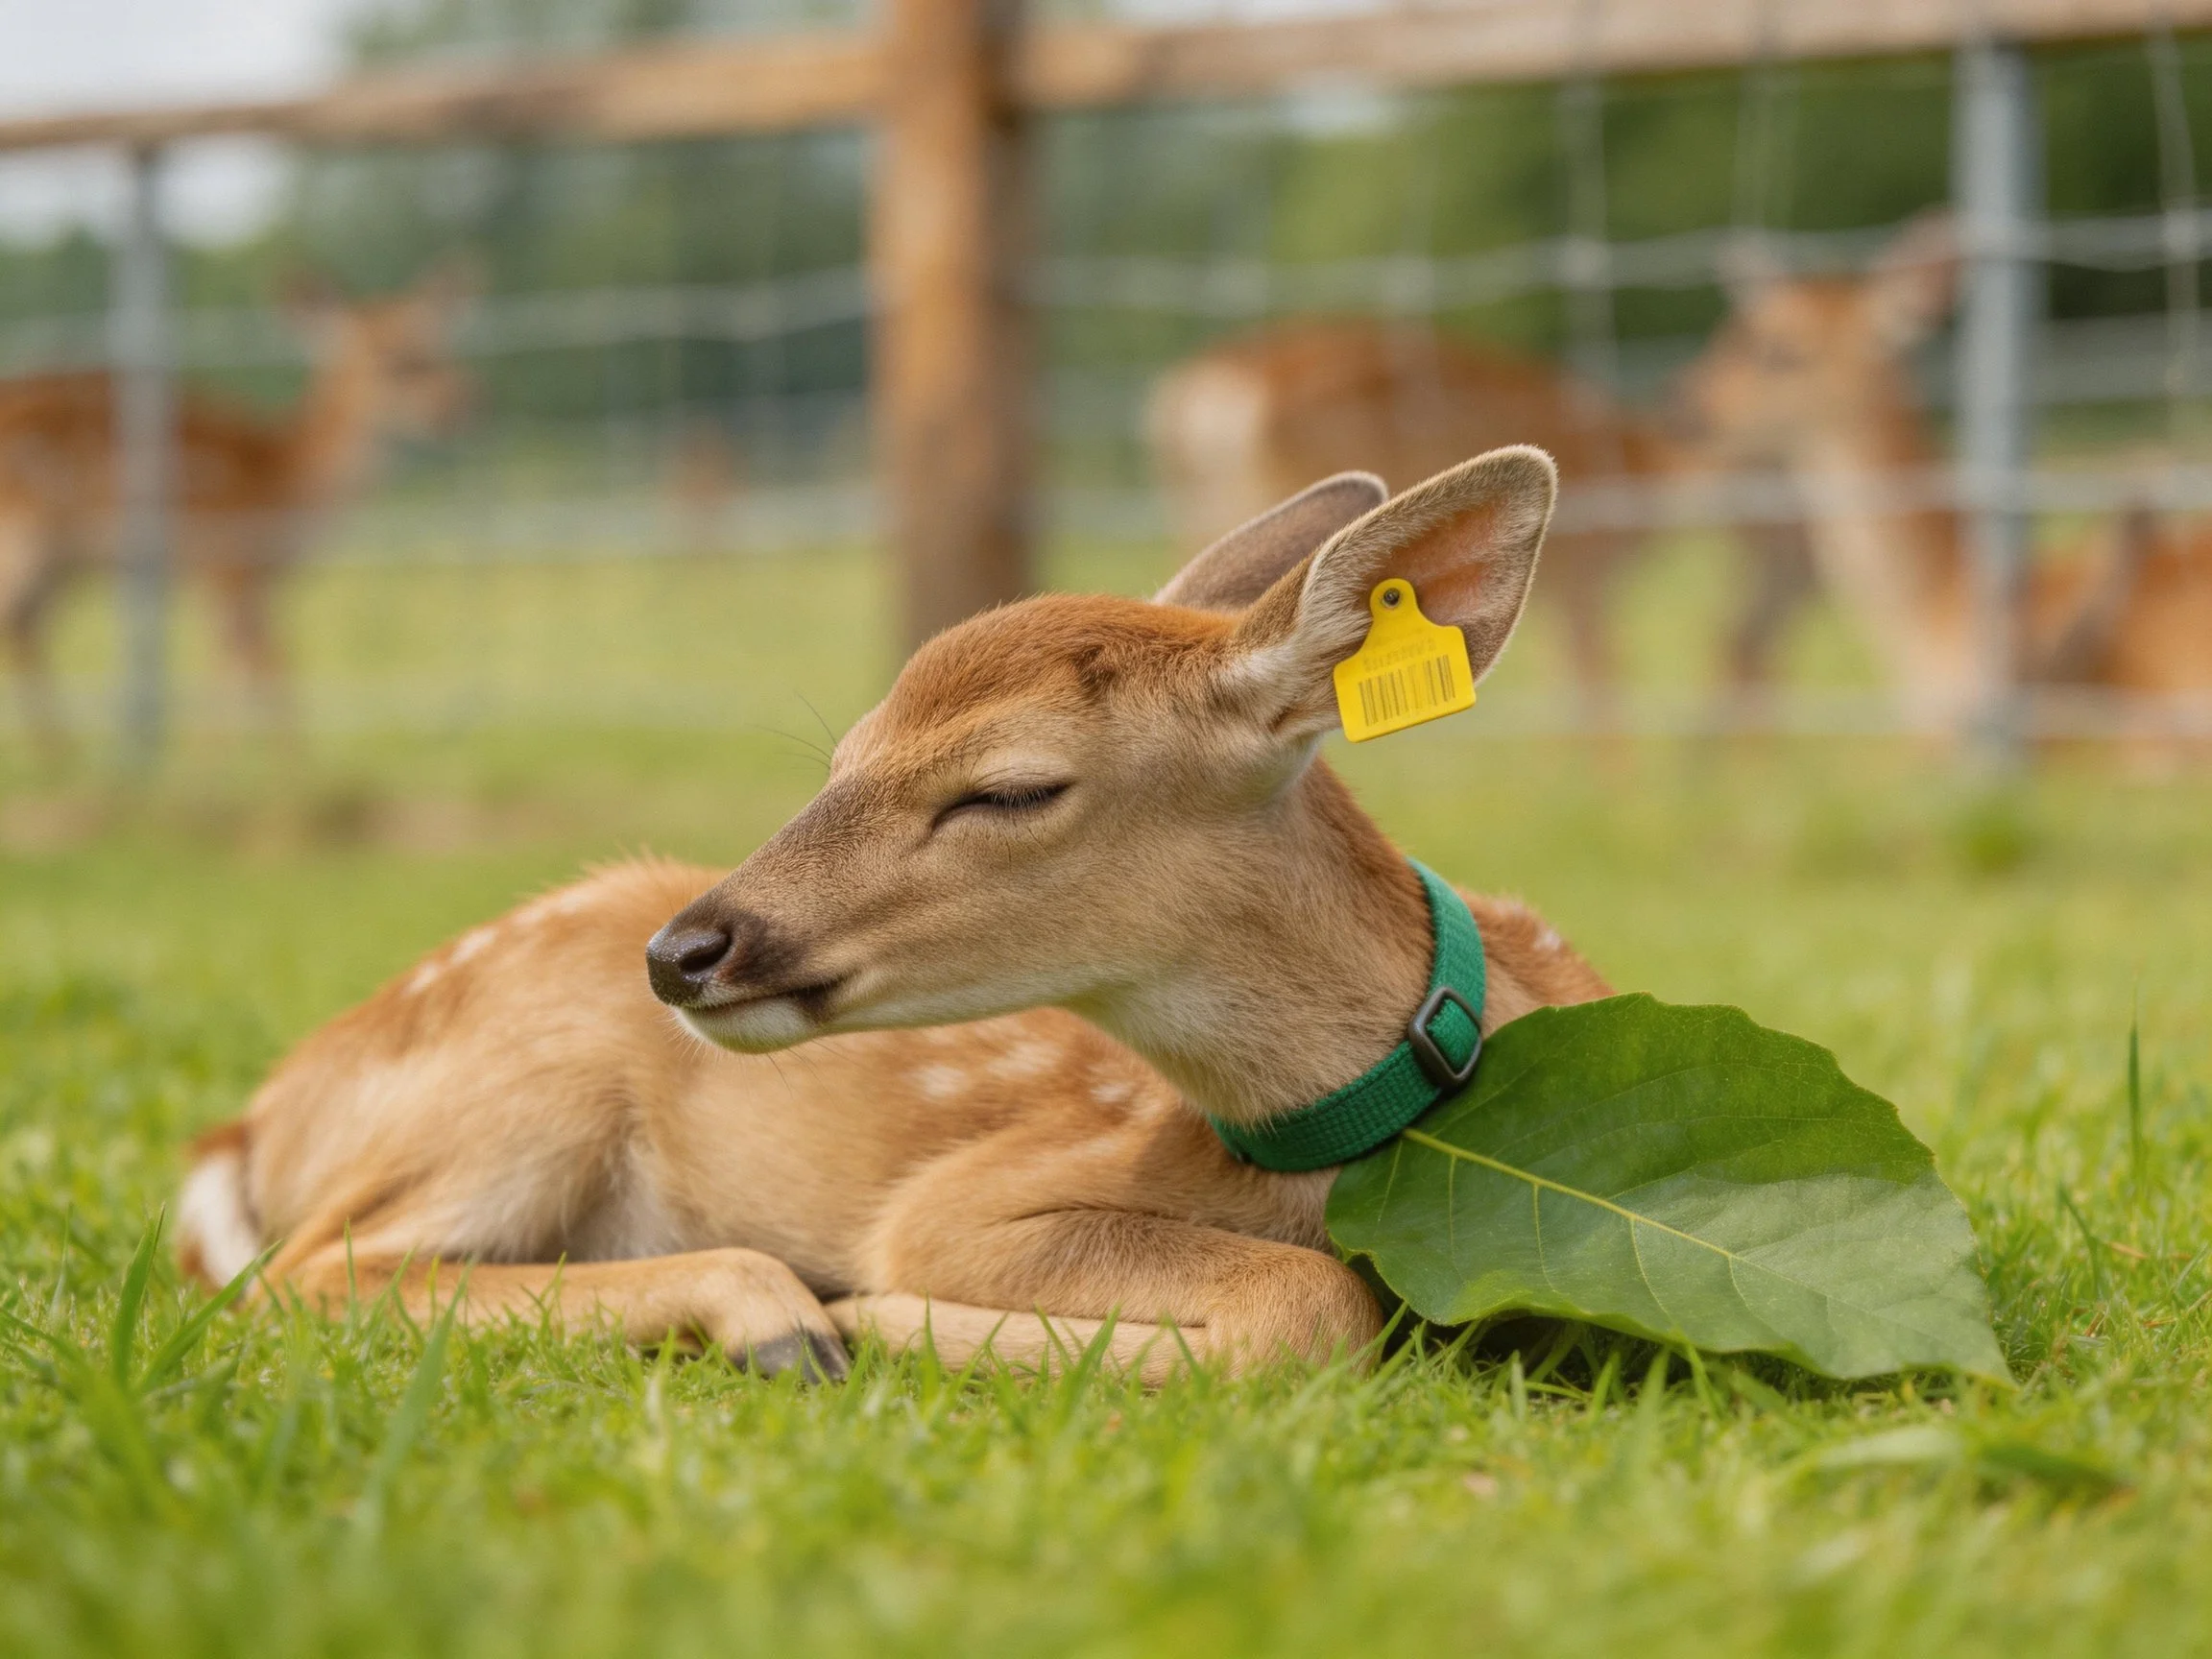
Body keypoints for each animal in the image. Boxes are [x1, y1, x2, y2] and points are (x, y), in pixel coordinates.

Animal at [0, 263, 474, 746]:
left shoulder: (246, 580)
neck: (285, 480)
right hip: (24, 539)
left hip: (62, 565)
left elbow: (234, 667)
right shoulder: (228, 562)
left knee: (26, 627)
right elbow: (267, 666)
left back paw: (60, 749)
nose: (463, 403)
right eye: (398, 363)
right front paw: (273, 753)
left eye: (441, 350)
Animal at [174, 450, 1613, 1382]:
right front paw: (878, 1314)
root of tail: (261, 1114)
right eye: (845, 755)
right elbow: (1313, 1314)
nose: (686, 951)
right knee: (312, 1271)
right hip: (524, 1087)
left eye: (1011, 788)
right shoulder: (965, 1200)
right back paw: (782, 1316)